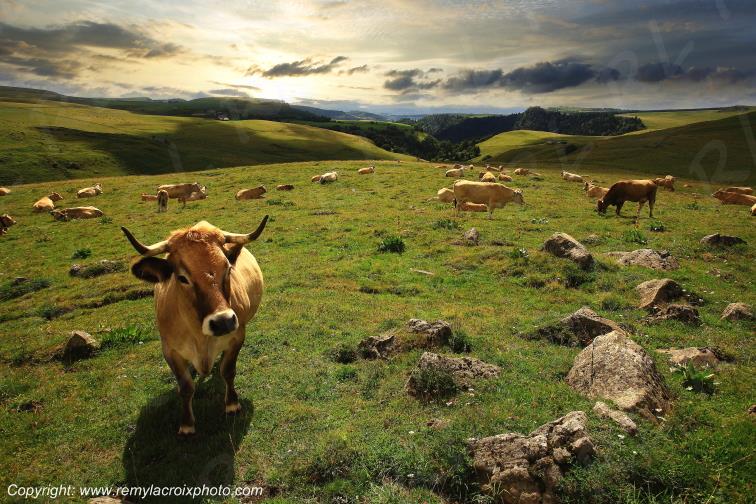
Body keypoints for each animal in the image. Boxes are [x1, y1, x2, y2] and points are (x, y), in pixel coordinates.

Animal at [121, 216, 268, 434]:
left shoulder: (237, 337)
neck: (200, 337)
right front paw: (187, 424)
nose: (223, 321)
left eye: (227, 269)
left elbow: (228, 371)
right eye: (182, 278)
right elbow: (185, 386)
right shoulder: (170, 350)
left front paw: (232, 404)